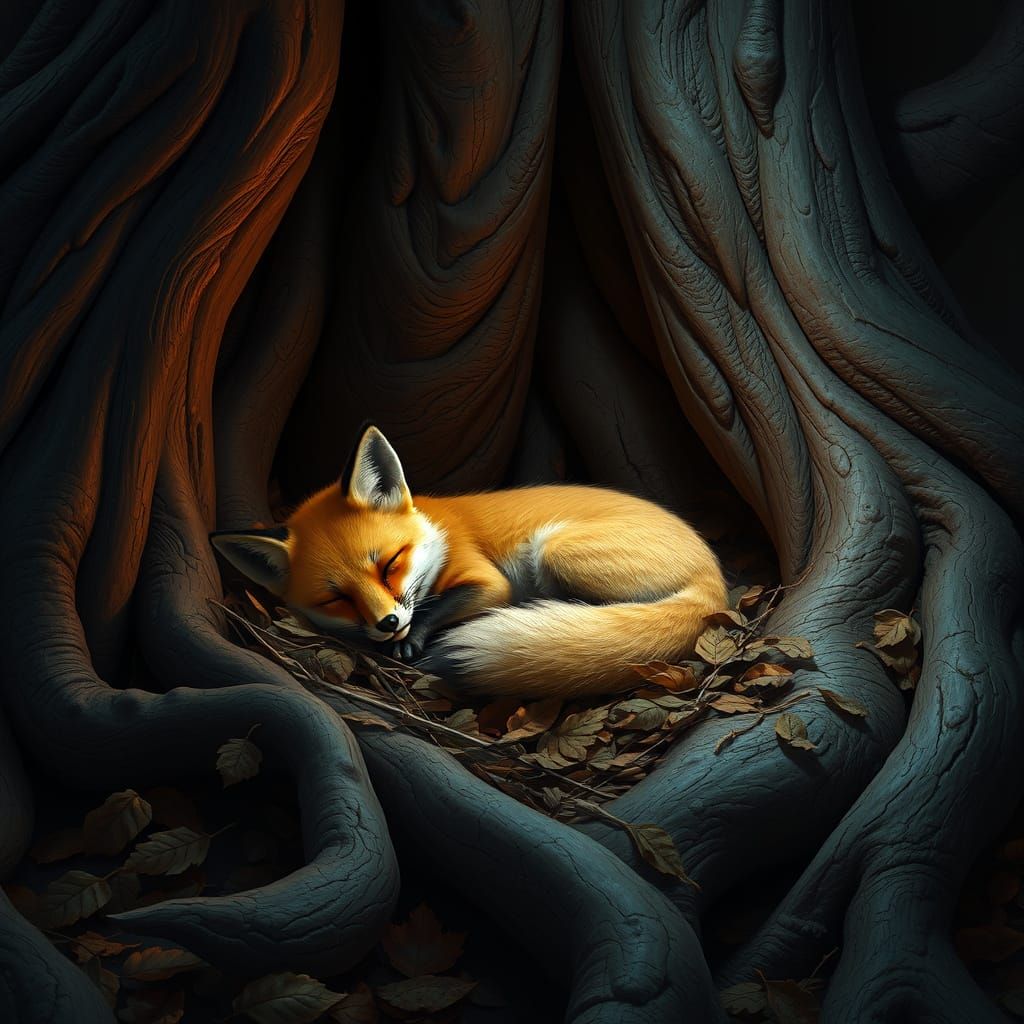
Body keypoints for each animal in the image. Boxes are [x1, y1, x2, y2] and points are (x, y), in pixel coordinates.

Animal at [210, 425, 728, 697]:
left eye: (390, 564)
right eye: (335, 598)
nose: (388, 622)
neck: (434, 525)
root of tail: (714, 578)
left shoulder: (487, 579)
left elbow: (442, 605)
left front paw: (413, 638)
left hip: (556, 551)